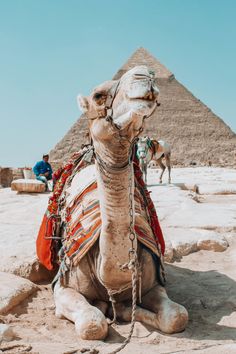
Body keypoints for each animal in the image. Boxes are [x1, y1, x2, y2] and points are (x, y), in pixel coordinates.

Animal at [40, 65, 188, 342]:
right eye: (98, 95)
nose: (145, 74)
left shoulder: (153, 284)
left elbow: (176, 316)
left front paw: (128, 310)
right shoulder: (63, 286)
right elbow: (93, 324)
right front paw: (111, 310)